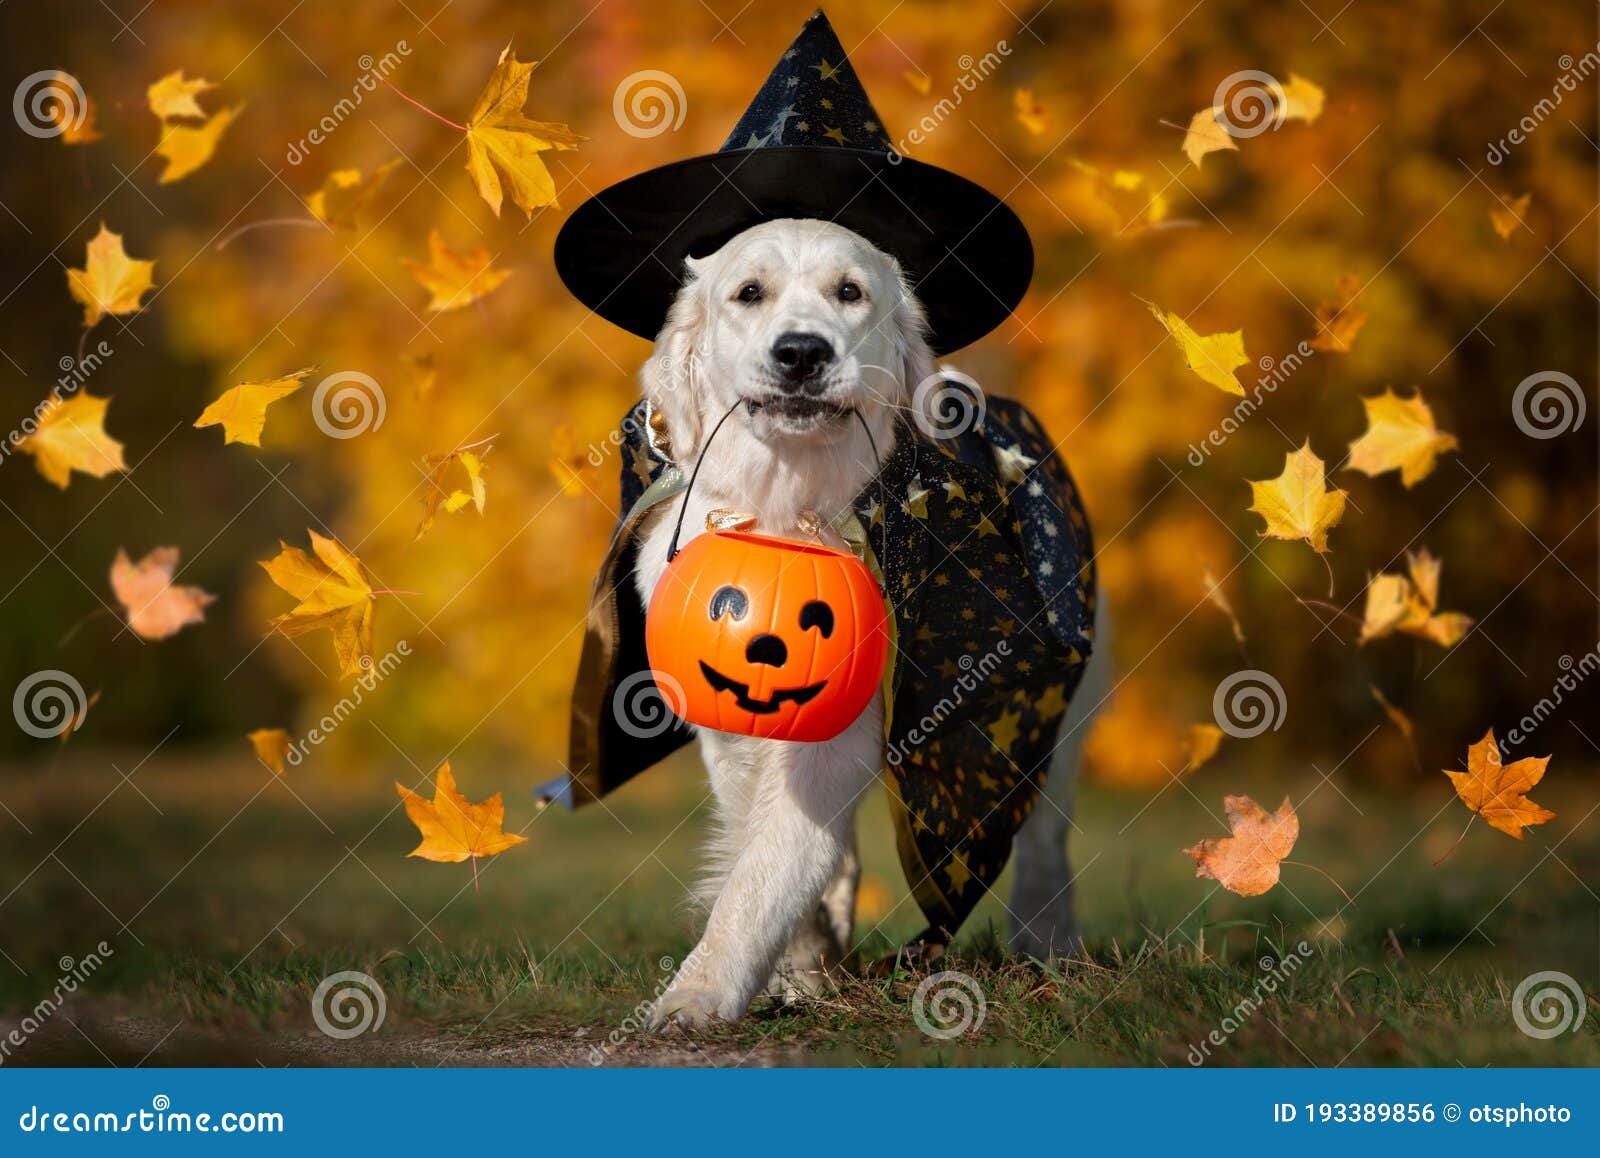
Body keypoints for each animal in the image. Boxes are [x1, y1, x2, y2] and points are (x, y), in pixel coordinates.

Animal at [617, 219, 1107, 1030]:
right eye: (749, 293)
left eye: (850, 292)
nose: (802, 352)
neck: (791, 510)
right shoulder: (735, 739)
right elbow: (768, 854)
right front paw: (799, 969)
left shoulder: (832, 738)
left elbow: (759, 879)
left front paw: (697, 993)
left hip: (1060, 708)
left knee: (1045, 836)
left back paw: (1049, 947)